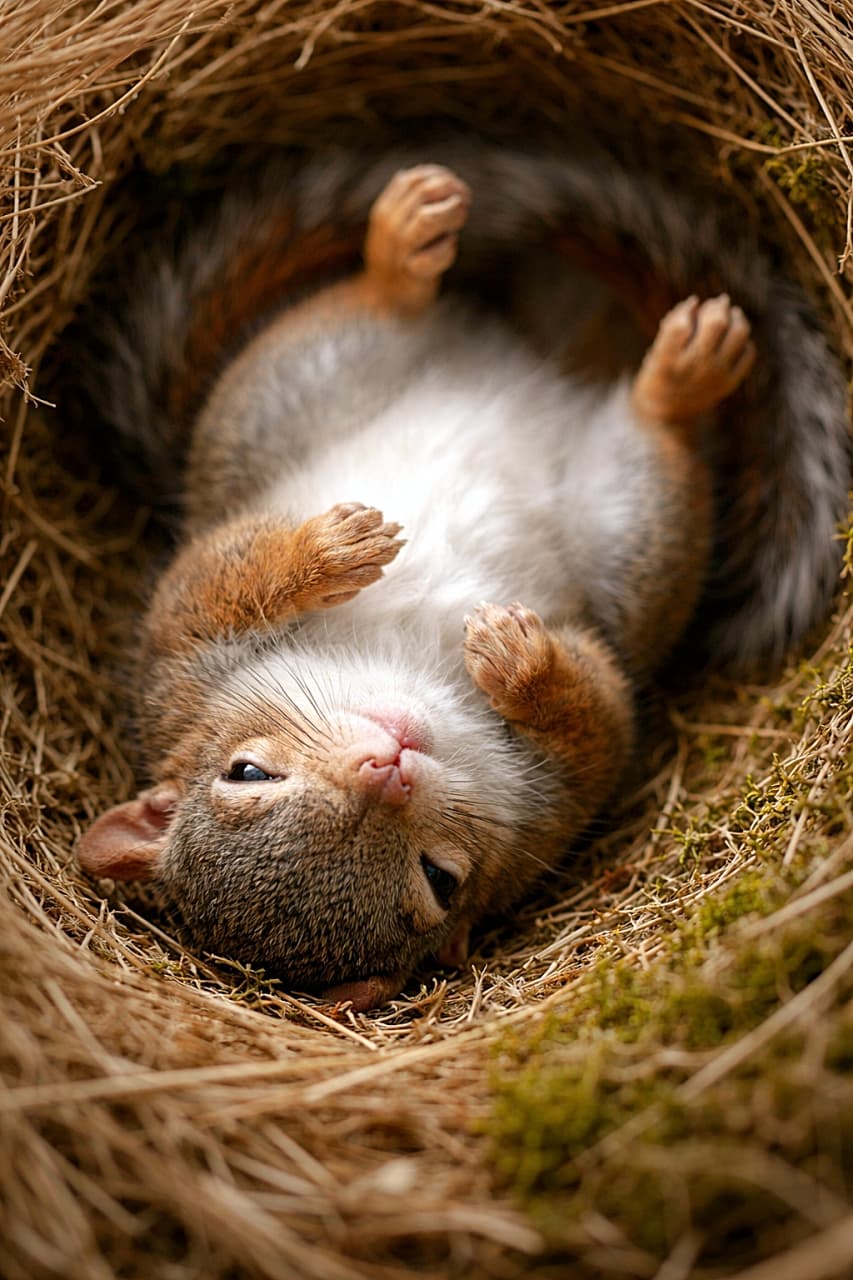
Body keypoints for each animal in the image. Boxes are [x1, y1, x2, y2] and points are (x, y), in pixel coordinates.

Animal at [75, 144, 849, 1011]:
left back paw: (406, 241)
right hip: (633, 538)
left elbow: (228, 579)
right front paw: (521, 665)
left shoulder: (182, 650)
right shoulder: (552, 808)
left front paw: (335, 554)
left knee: (375, 306)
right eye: (439, 880)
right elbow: (602, 721)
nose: (387, 765)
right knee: (655, 443)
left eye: (246, 772)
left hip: (285, 387)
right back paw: (678, 377)